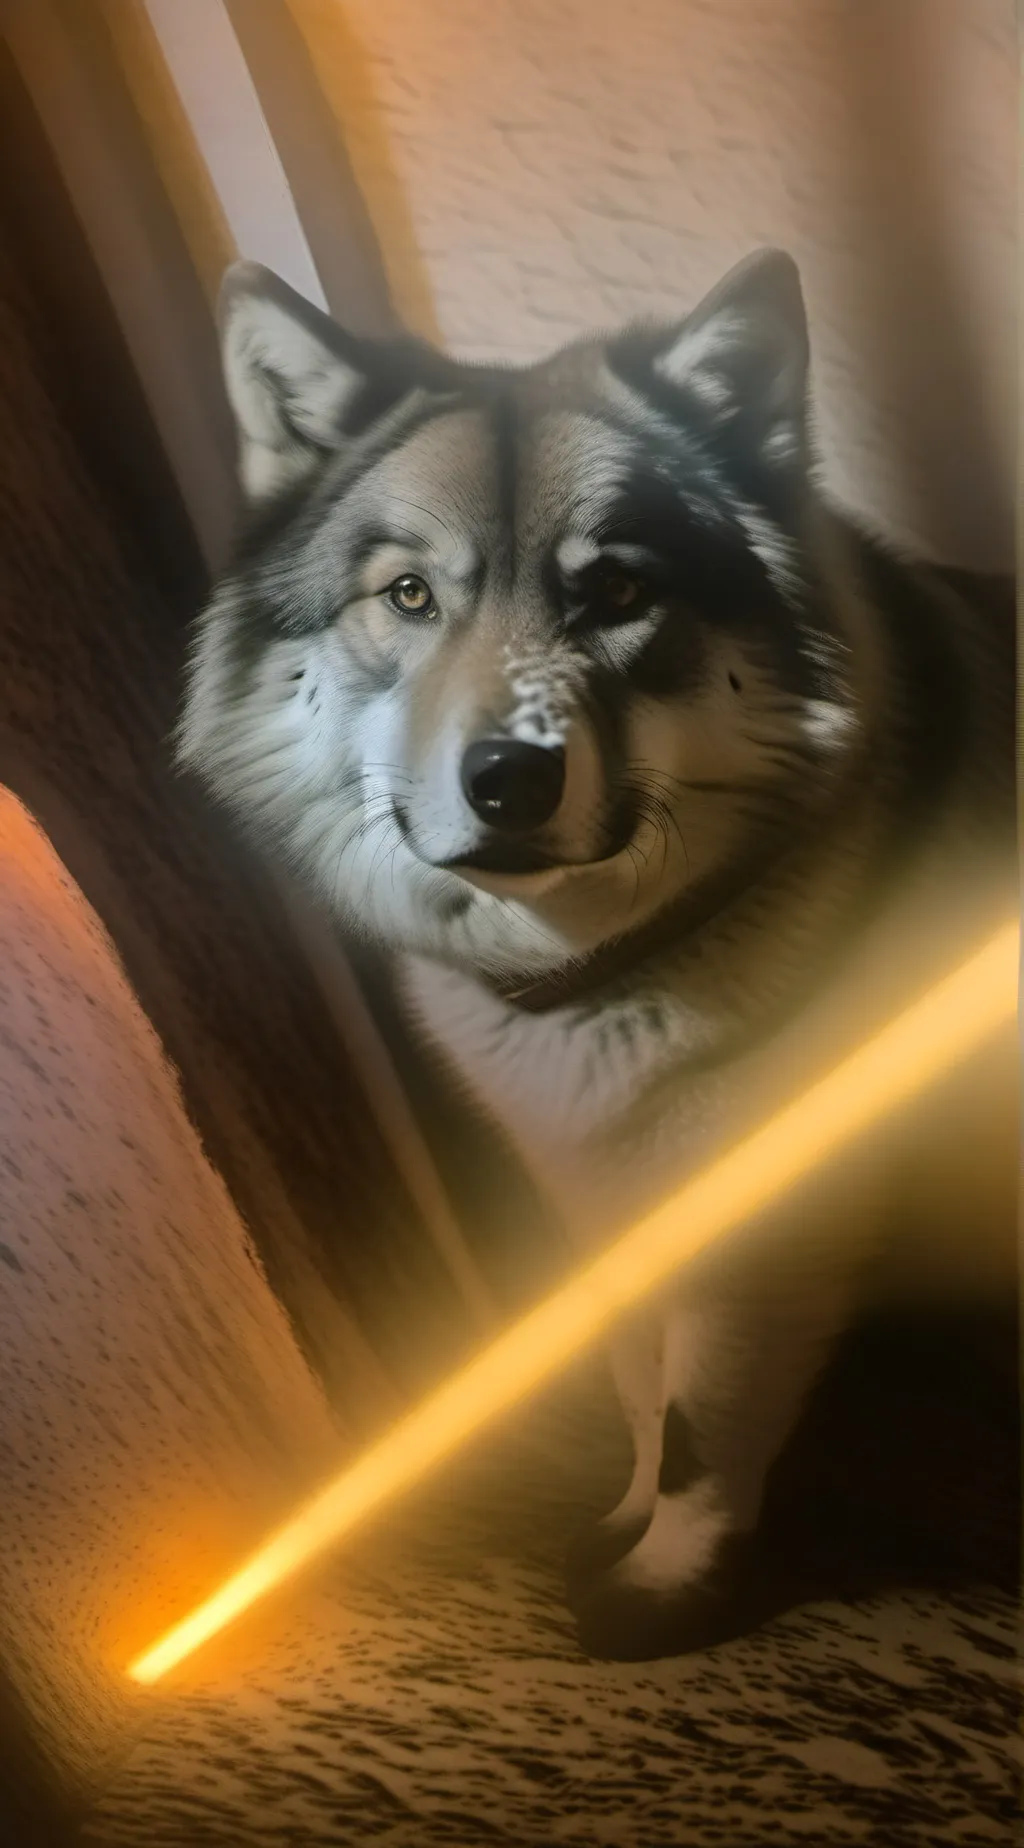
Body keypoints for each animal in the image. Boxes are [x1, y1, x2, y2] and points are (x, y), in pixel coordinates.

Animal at [179, 248, 1017, 1661]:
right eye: (408, 595)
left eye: (619, 591)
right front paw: (624, 1522)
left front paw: (662, 1591)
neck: (610, 969)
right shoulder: (604, 1203)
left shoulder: (756, 1231)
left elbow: (698, 1432)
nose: (510, 778)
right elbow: (634, 1387)